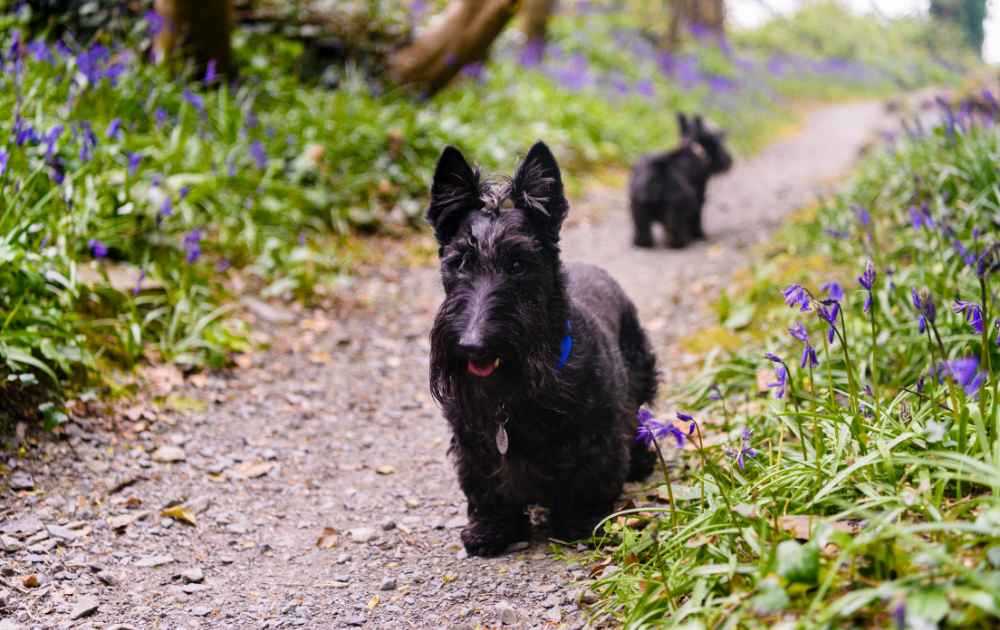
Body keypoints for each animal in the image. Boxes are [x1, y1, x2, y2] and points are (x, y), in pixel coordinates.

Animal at [428, 143, 656, 556]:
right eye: (458, 263)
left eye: (518, 264)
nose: (473, 345)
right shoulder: (473, 444)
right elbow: (487, 490)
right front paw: (491, 531)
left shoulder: (595, 437)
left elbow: (589, 480)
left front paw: (578, 523)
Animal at [628, 113, 732, 249]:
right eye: (718, 142)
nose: (730, 160)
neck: (695, 148)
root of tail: (655, 177)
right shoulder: (700, 195)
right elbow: (697, 217)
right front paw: (699, 235)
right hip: (676, 209)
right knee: (674, 232)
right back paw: (681, 241)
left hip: (638, 208)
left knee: (642, 230)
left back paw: (642, 242)